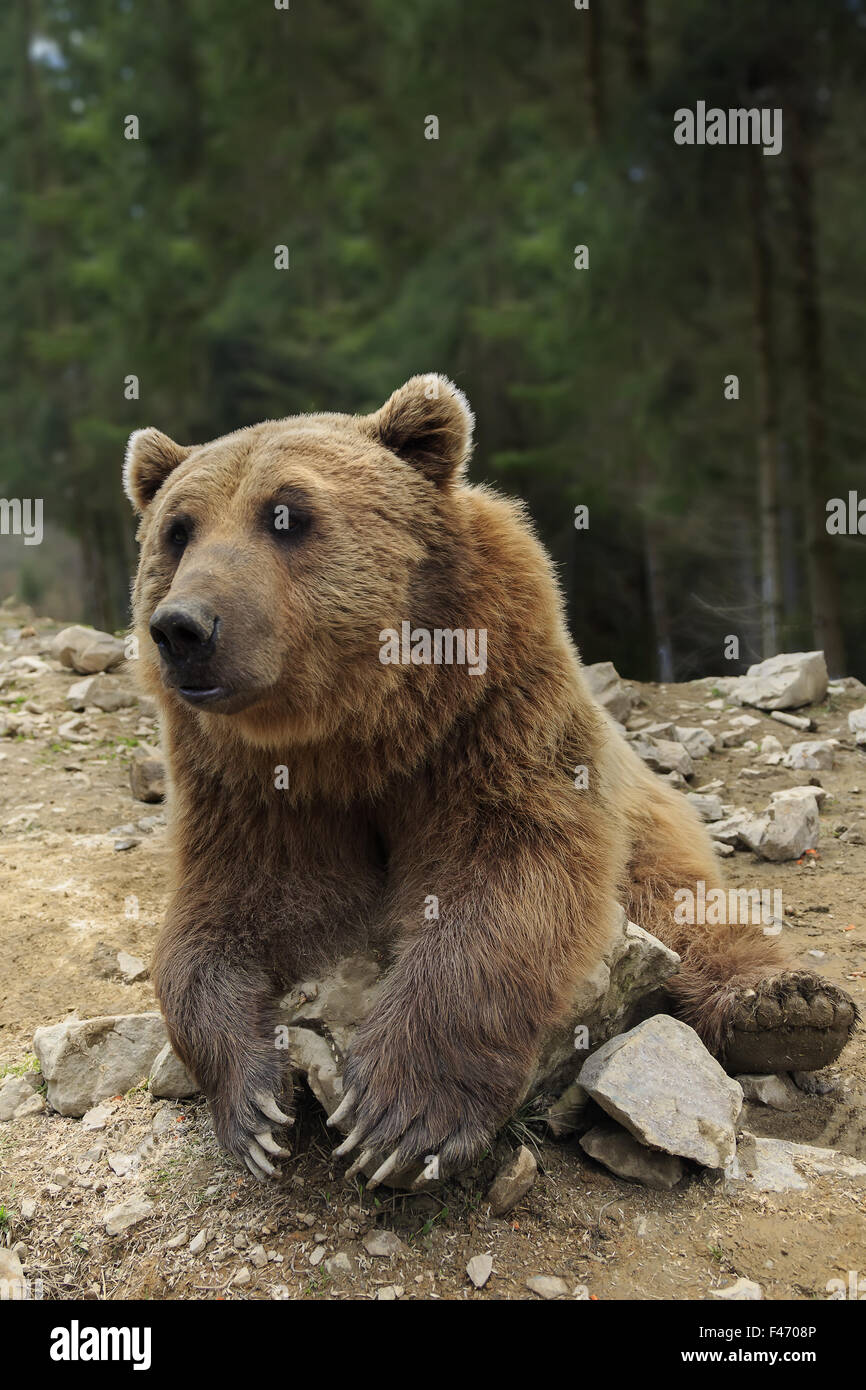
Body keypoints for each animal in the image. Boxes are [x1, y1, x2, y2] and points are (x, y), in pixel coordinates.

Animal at [125, 375, 856, 1178]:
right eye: (178, 531)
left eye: (287, 514)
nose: (184, 627)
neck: (354, 732)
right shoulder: (251, 786)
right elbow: (226, 914)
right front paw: (254, 1105)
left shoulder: (492, 707)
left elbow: (510, 868)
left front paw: (400, 1117)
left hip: (647, 820)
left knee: (683, 910)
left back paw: (787, 1009)